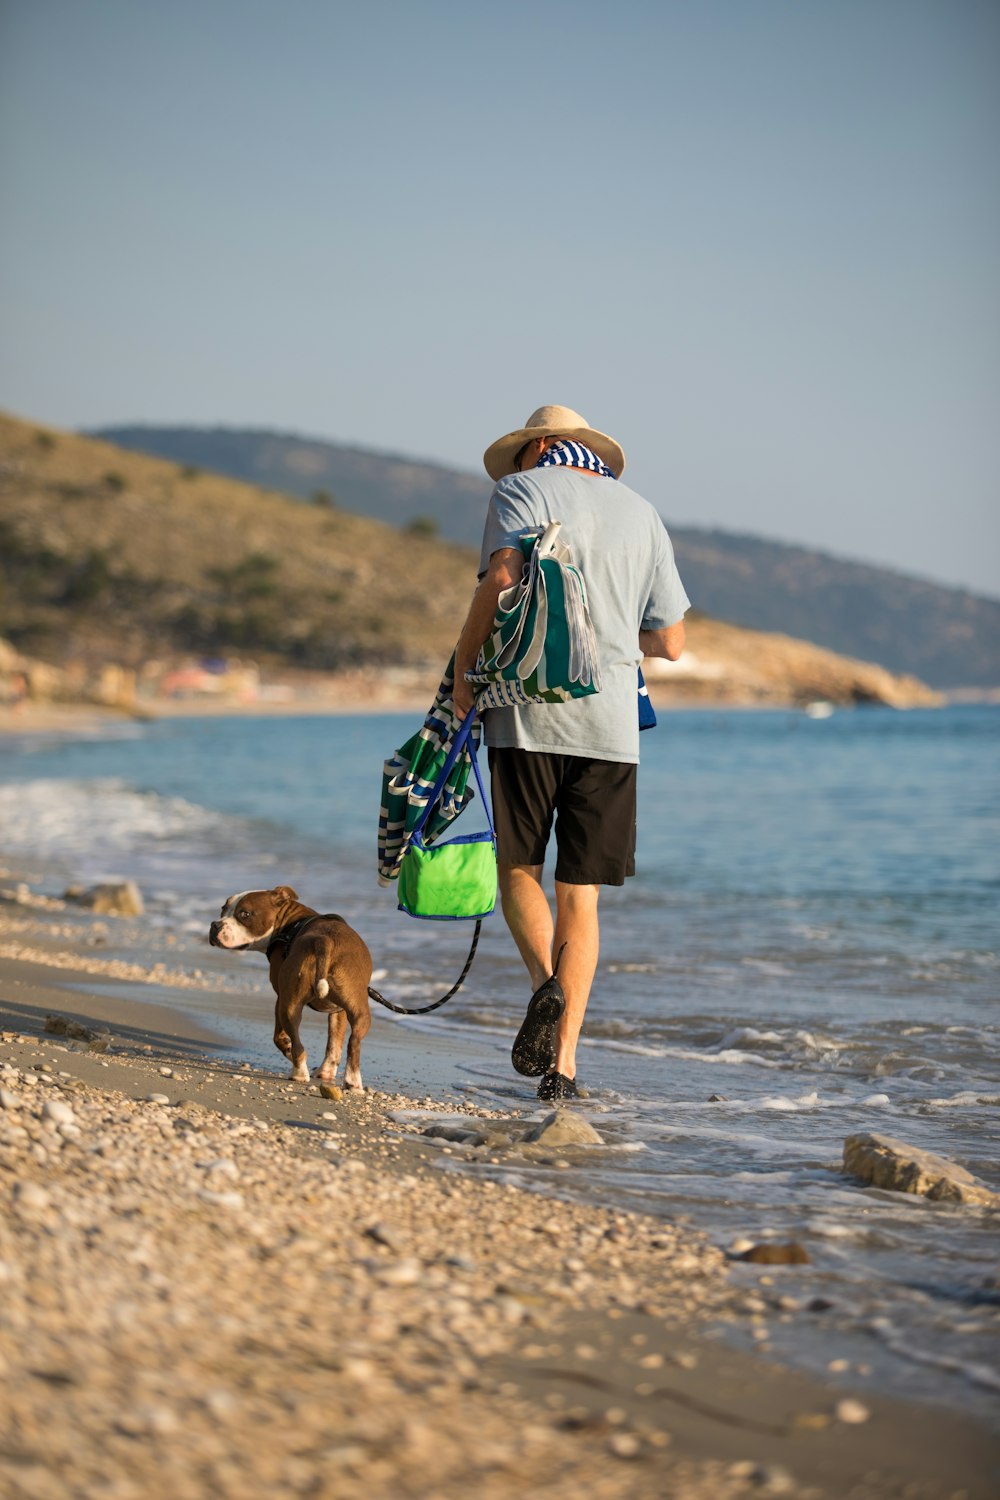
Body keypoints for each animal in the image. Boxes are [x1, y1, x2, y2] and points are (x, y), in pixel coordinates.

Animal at [209, 882, 373, 1086]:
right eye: (222, 909)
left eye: (244, 914)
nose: (214, 925)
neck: (288, 921)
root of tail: (323, 940)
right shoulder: (338, 1011)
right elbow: (334, 1043)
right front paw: (326, 1071)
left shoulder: (280, 998)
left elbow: (278, 1037)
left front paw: (287, 1048)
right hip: (359, 1010)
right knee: (354, 1041)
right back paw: (352, 1081)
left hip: (288, 1005)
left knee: (298, 1044)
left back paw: (299, 1072)